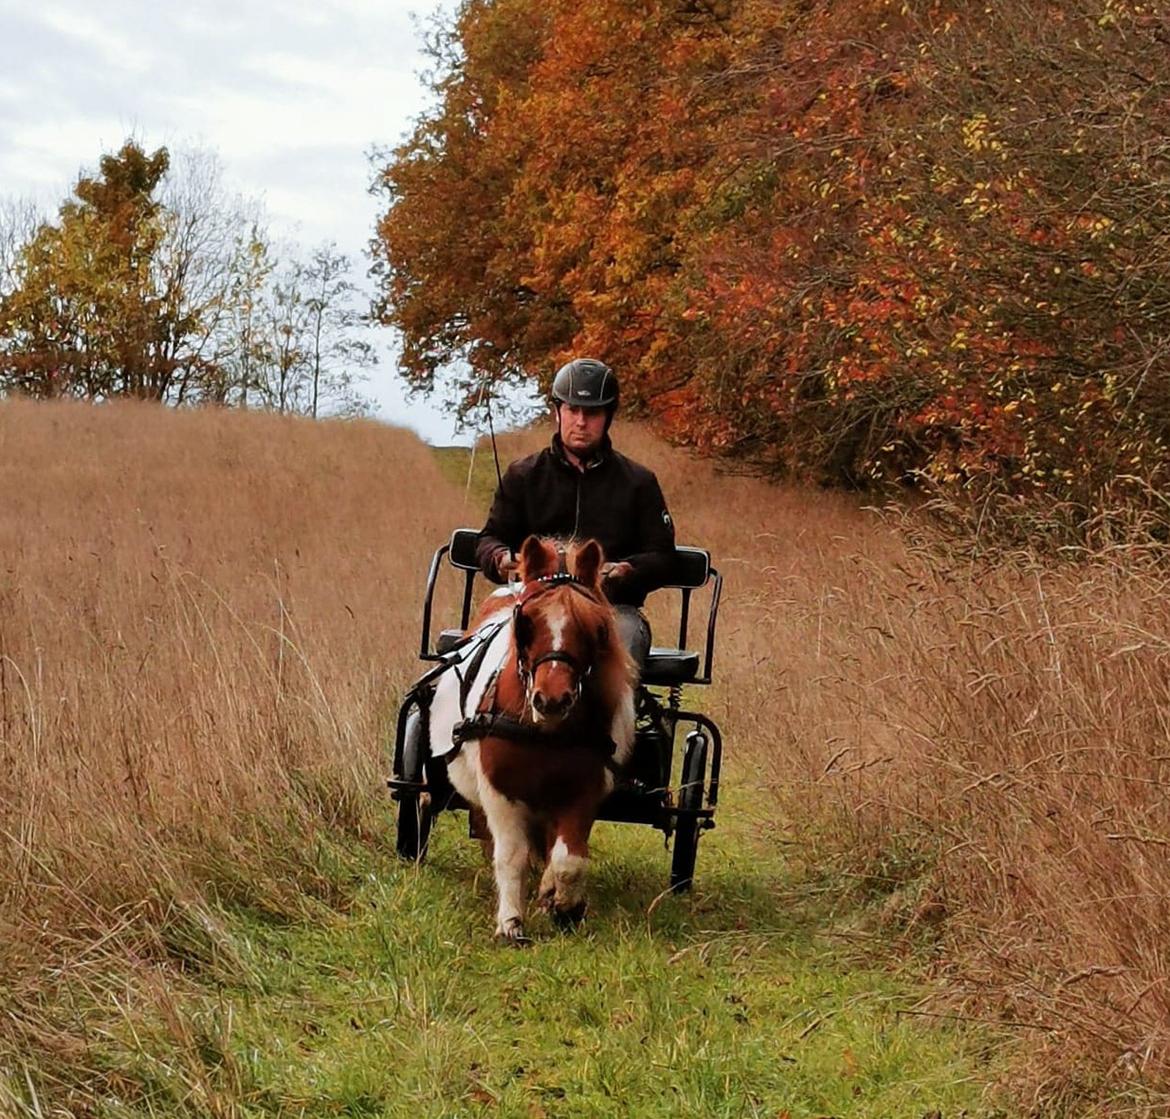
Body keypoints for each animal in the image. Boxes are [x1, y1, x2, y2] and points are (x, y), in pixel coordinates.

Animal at [430, 538, 636, 941]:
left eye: (595, 627)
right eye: (525, 622)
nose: (552, 700)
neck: (544, 733)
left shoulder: (583, 790)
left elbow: (569, 858)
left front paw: (564, 906)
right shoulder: (500, 790)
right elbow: (512, 855)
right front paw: (510, 923)